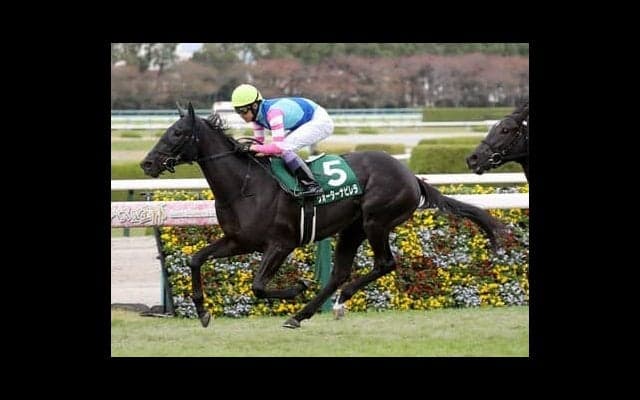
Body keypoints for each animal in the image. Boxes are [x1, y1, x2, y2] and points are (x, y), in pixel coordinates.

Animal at [140, 102, 505, 329]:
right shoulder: (238, 240)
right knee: (339, 273)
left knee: (384, 264)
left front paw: (296, 287)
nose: (146, 163)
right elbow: (195, 260)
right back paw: (302, 315)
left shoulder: (281, 243)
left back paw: (338, 300)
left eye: (176, 133)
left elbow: (258, 286)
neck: (245, 186)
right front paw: (202, 311)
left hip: (376, 221)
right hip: (352, 229)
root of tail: (411, 175)